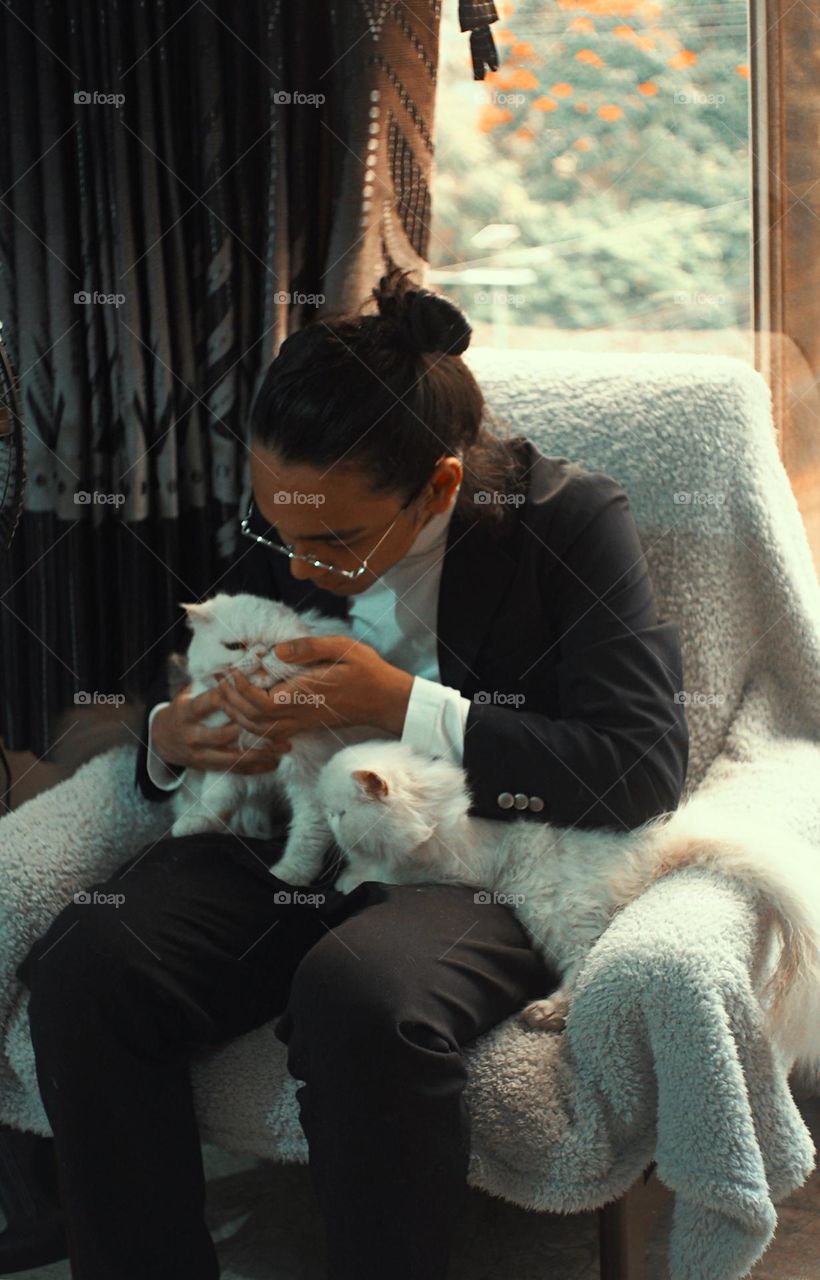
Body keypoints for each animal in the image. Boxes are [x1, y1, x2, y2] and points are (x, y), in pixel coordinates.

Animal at [167, 591, 388, 880]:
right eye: (235, 646)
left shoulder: (309, 781)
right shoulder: (231, 762)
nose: (261, 652)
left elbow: (307, 835)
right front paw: (198, 823)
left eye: (276, 648)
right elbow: (216, 799)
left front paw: (291, 873)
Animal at [317, 742, 818, 1070]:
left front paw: (348, 879)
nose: (327, 824)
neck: (430, 810)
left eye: (339, 813)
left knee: (582, 967)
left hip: (557, 916)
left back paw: (546, 1012)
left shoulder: (443, 866)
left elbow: (383, 873)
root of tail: (646, 848)